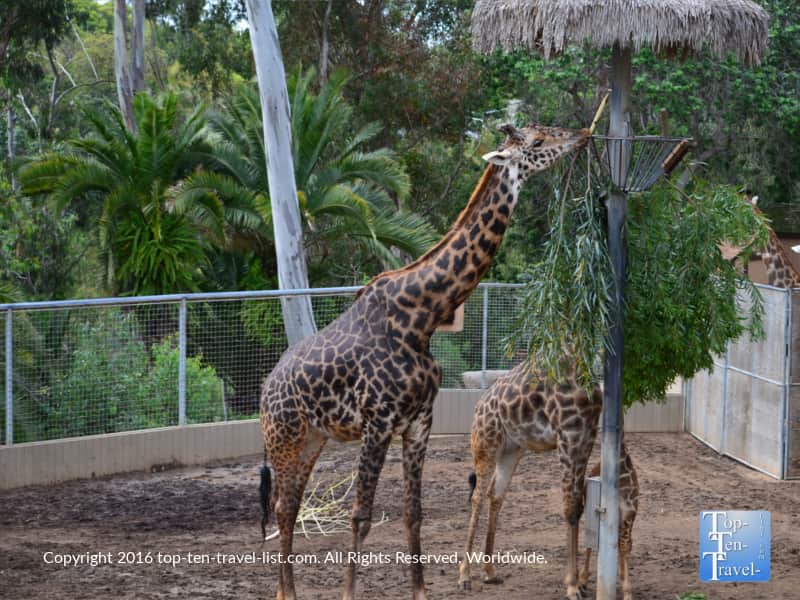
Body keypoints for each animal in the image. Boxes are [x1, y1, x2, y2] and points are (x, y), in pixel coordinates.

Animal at [259, 123, 590, 600]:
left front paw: (420, 590)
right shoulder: (378, 422)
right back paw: (286, 593)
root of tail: (265, 389)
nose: (582, 135)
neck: (422, 317)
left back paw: (289, 592)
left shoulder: (418, 422)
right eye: (538, 142)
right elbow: (361, 514)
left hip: (312, 439)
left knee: (290, 504)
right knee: (284, 505)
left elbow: (413, 512)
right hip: (283, 436)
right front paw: (349, 592)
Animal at [456, 361, 639, 600]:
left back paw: (490, 572)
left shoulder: (585, 436)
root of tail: (479, 404)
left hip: (511, 450)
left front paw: (577, 583)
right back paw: (464, 577)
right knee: (477, 496)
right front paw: (572, 586)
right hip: (485, 442)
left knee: (495, 494)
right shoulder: (568, 437)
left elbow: (577, 508)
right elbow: (570, 508)